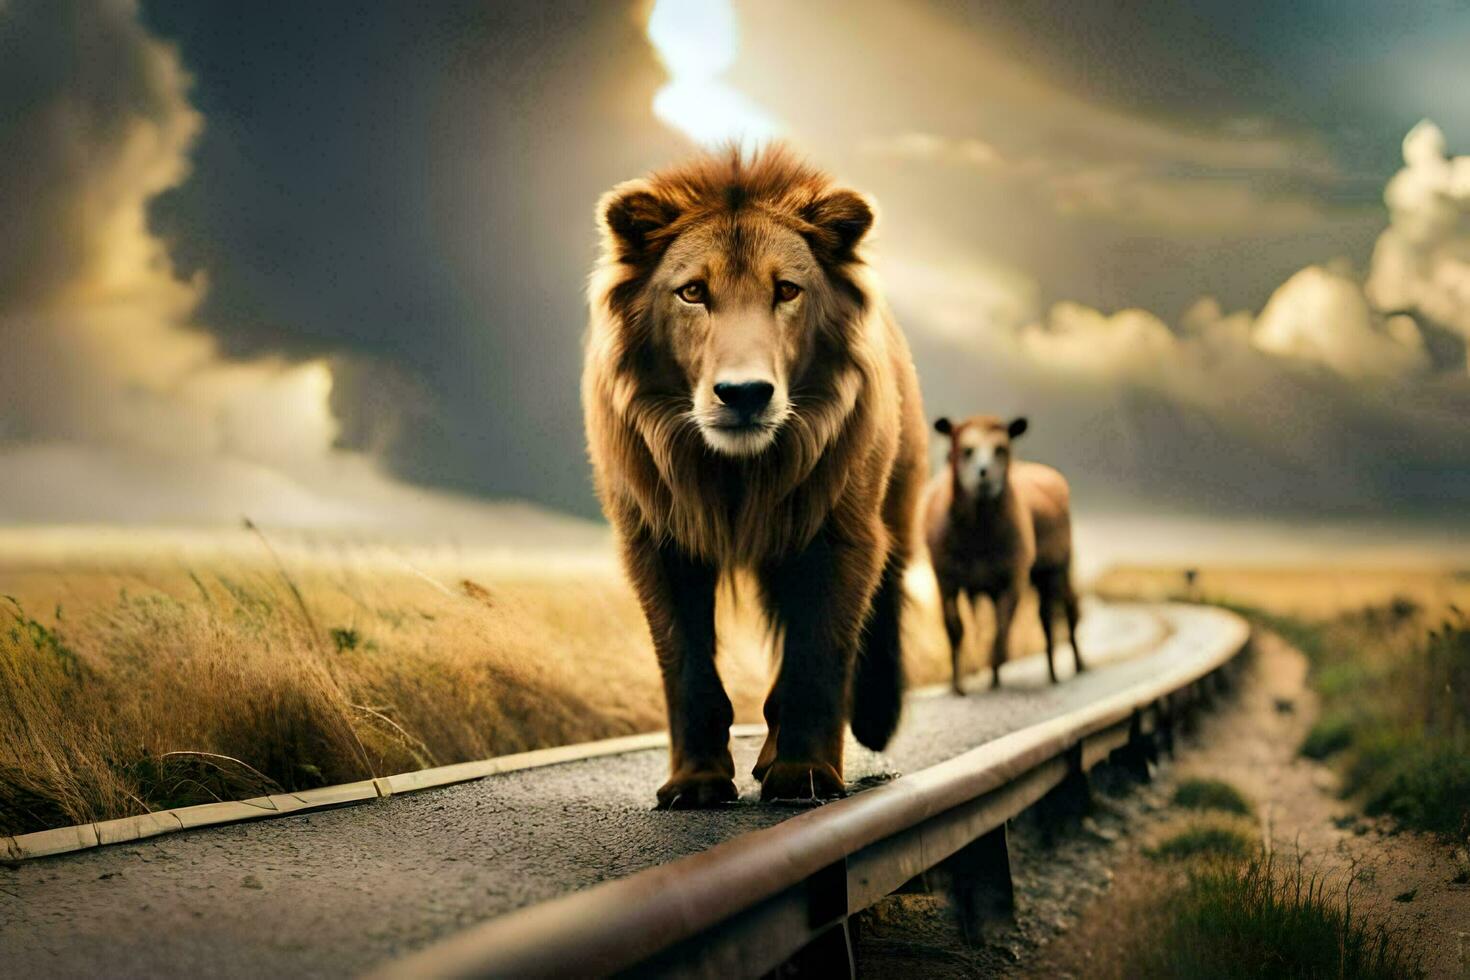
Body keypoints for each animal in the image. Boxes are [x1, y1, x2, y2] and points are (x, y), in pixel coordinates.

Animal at [579, 143, 923, 805]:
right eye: (692, 292)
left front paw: (804, 776)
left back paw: (870, 717)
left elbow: (816, 661)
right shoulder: (658, 541)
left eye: (786, 290)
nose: (744, 394)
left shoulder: (838, 534)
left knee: (888, 590)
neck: (736, 476)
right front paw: (695, 783)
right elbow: (686, 667)